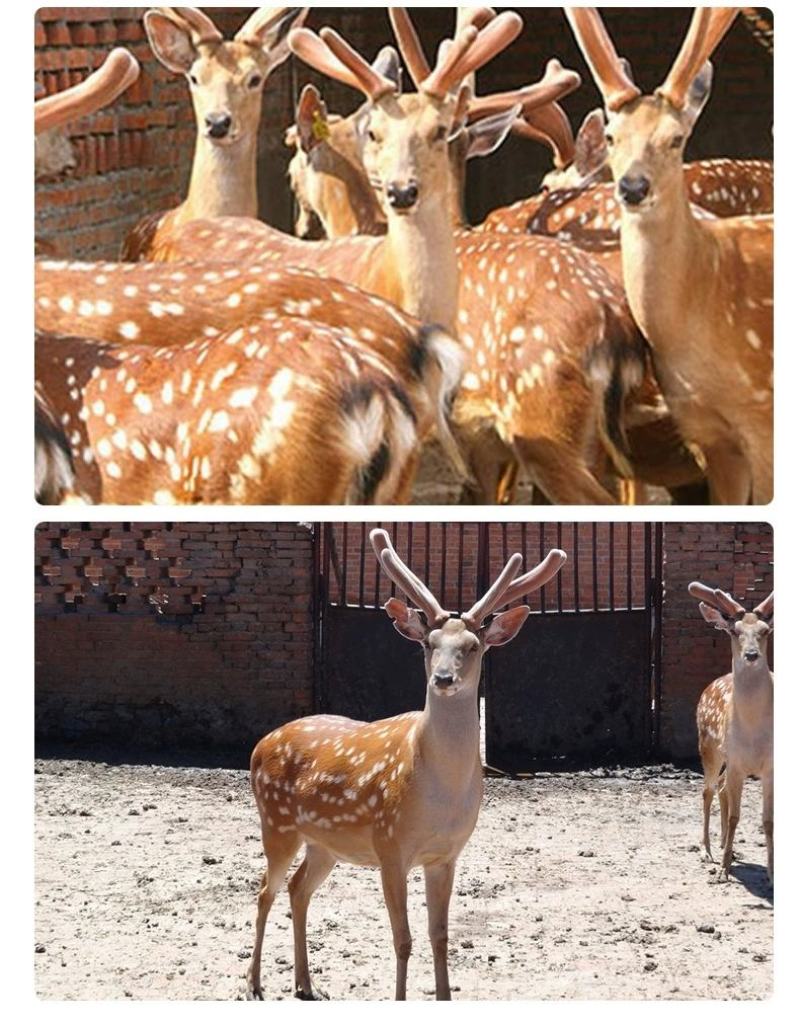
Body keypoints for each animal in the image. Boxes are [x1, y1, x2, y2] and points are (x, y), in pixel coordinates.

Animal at [247, 528, 567, 1000]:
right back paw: (254, 983)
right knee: (264, 890)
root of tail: (259, 745)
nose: (444, 678)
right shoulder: (390, 845)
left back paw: (307, 983)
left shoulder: (446, 854)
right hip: (277, 823)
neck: (439, 795)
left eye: (473, 646)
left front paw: (446, 995)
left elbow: (439, 935)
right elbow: (403, 939)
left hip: (324, 843)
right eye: (428, 644)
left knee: (297, 888)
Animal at [689, 582, 773, 885]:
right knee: (708, 790)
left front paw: (772, 874)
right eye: (734, 631)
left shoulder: (770, 767)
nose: (751, 655)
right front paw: (723, 871)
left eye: (765, 630)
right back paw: (708, 850)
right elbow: (736, 816)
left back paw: (728, 847)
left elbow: (767, 820)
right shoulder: (737, 762)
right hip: (709, 748)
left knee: (722, 789)